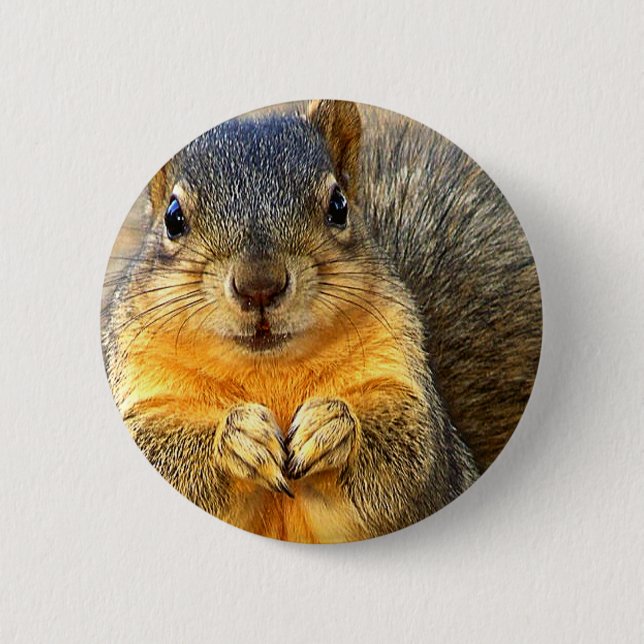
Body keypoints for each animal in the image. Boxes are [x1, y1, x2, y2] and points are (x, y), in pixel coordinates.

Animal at [101, 100, 541, 543]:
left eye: (339, 206)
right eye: (173, 217)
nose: (259, 286)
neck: (269, 370)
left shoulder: (406, 388)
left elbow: (413, 456)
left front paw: (332, 426)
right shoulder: (144, 390)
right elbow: (162, 450)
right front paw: (237, 437)